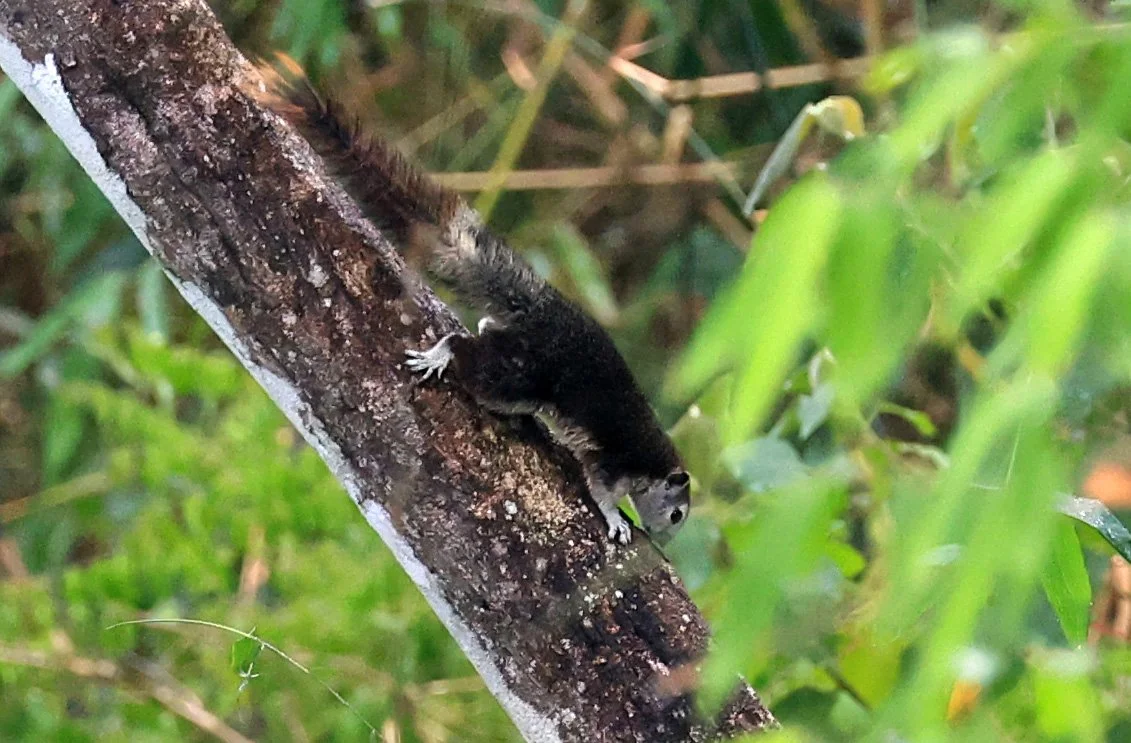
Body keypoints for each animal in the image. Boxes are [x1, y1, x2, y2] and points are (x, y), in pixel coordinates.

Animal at [251, 59, 691, 545]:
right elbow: (600, 491)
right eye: (677, 515)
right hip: (518, 380)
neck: (653, 461)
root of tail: (538, 309)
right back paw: (441, 355)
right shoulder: (613, 463)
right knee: (470, 356)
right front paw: (616, 522)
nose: (666, 539)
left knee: (484, 332)